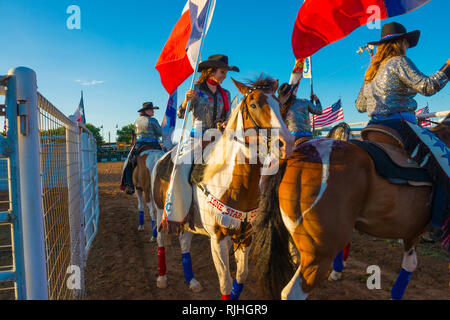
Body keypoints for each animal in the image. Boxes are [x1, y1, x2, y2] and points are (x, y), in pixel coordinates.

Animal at [151, 77, 296, 300]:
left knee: (184, 243)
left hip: (187, 221)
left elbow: (241, 275)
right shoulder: (217, 239)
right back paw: (161, 278)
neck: (231, 183)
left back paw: (192, 281)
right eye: (253, 105)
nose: (286, 143)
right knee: (161, 240)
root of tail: (163, 157)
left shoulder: (246, 237)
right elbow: (225, 282)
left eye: (280, 105)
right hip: (161, 211)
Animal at [253, 115, 450, 300]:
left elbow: (409, 263)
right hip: (320, 251)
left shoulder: (410, 230)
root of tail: (294, 156)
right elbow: (411, 263)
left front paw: (338, 271)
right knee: (292, 292)